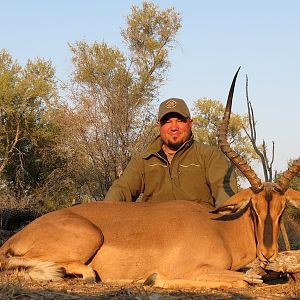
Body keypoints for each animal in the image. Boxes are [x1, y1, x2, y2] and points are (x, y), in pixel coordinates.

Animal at [0, 68, 298, 288]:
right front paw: (154, 278)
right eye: (254, 209)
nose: (268, 254)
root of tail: (16, 237)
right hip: (87, 237)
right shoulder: (196, 269)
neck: (223, 230)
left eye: (282, 208)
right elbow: (244, 281)